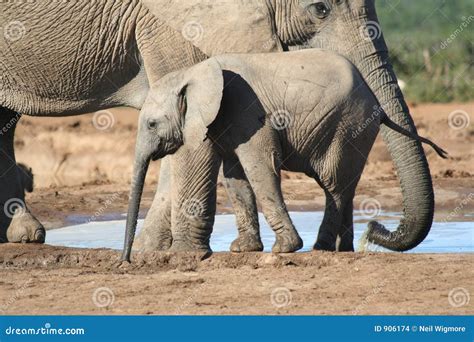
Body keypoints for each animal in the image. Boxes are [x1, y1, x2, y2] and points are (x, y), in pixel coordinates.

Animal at [120, 49, 442, 260]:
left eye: (152, 124)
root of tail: (375, 100)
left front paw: (284, 249)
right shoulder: (223, 119)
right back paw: (344, 249)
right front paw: (243, 250)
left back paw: (321, 248)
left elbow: (259, 168)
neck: (192, 72)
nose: (126, 261)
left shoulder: (247, 110)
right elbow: (234, 177)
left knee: (333, 184)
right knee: (346, 185)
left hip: (348, 124)